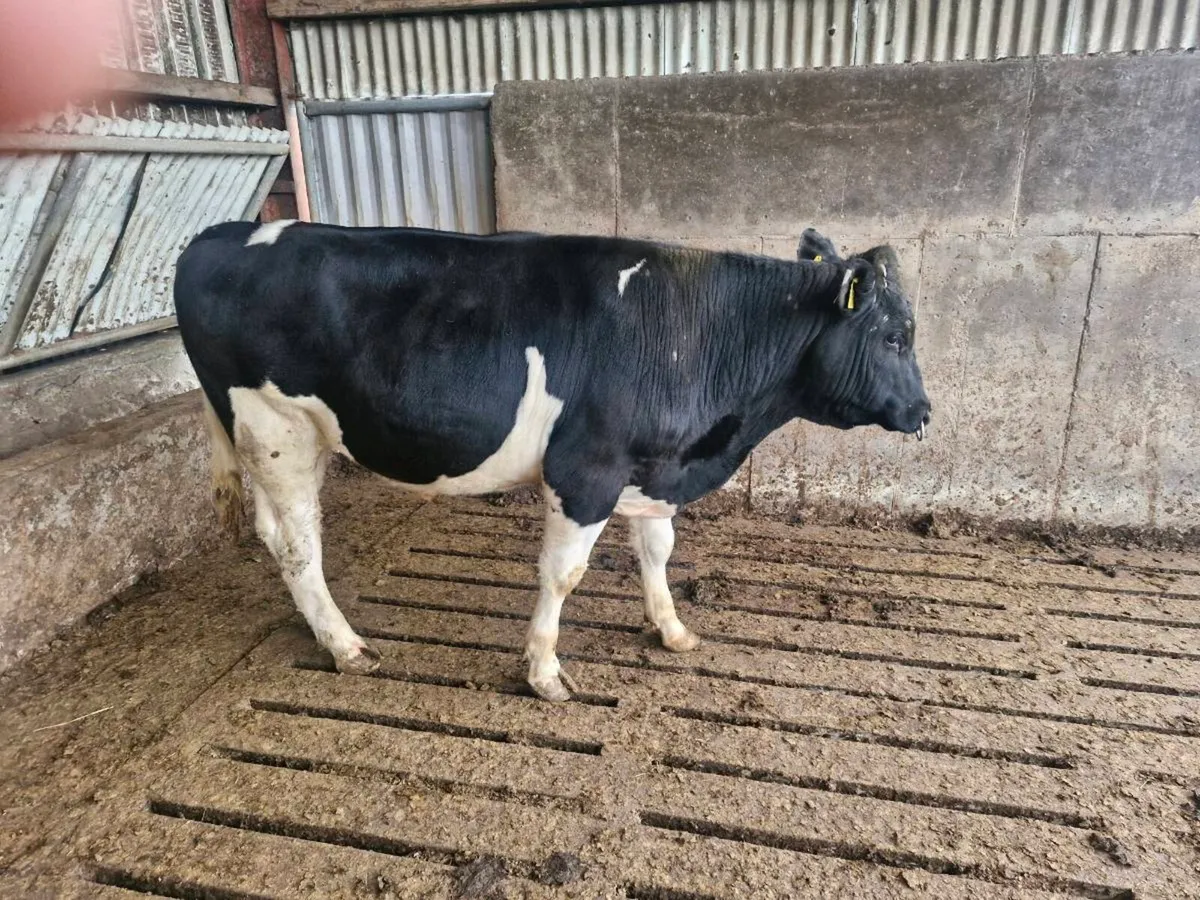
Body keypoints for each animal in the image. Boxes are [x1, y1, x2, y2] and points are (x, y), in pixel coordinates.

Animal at [173, 221, 930, 702]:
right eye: (896, 336)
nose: (924, 412)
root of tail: (219, 235)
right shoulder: (586, 471)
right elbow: (563, 575)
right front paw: (543, 672)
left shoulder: (651, 467)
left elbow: (658, 549)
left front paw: (672, 629)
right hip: (277, 428)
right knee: (300, 544)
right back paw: (346, 646)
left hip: (265, 438)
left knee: (274, 533)